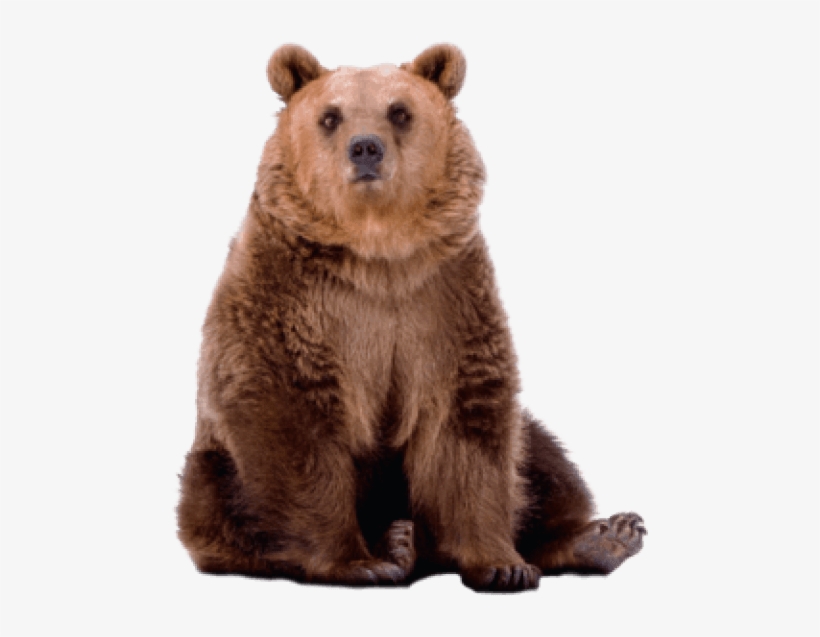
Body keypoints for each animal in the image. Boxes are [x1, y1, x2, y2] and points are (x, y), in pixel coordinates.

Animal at [176, 43, 646, 592]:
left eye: (399, 112)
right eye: (330, 116)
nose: (365, 148)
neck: (379, 253)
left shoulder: (443, 299)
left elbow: (469, 427)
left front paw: (503, 564)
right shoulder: (291, 298)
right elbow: (292, 417)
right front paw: (357, 561)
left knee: (542, 457)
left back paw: (604, 536)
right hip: (213, 466)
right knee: (218, 502)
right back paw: (394, 545)